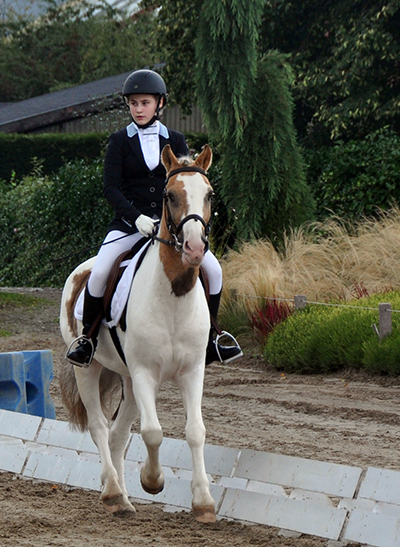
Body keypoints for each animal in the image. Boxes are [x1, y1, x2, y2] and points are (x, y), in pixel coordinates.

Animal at [59, 144, 216, 524]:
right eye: (169, 195)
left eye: (209, 194)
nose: (194, 248)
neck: (174, 295)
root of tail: (81, 269)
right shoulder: (145, 373)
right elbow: (153, 432)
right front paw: (152, 480)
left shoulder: (192, 372)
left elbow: (195, 431)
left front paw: (204, 502)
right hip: (89, 369)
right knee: (100, 428)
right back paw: (114, 492)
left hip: (128, 380)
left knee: (117, 434)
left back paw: (122, 498)